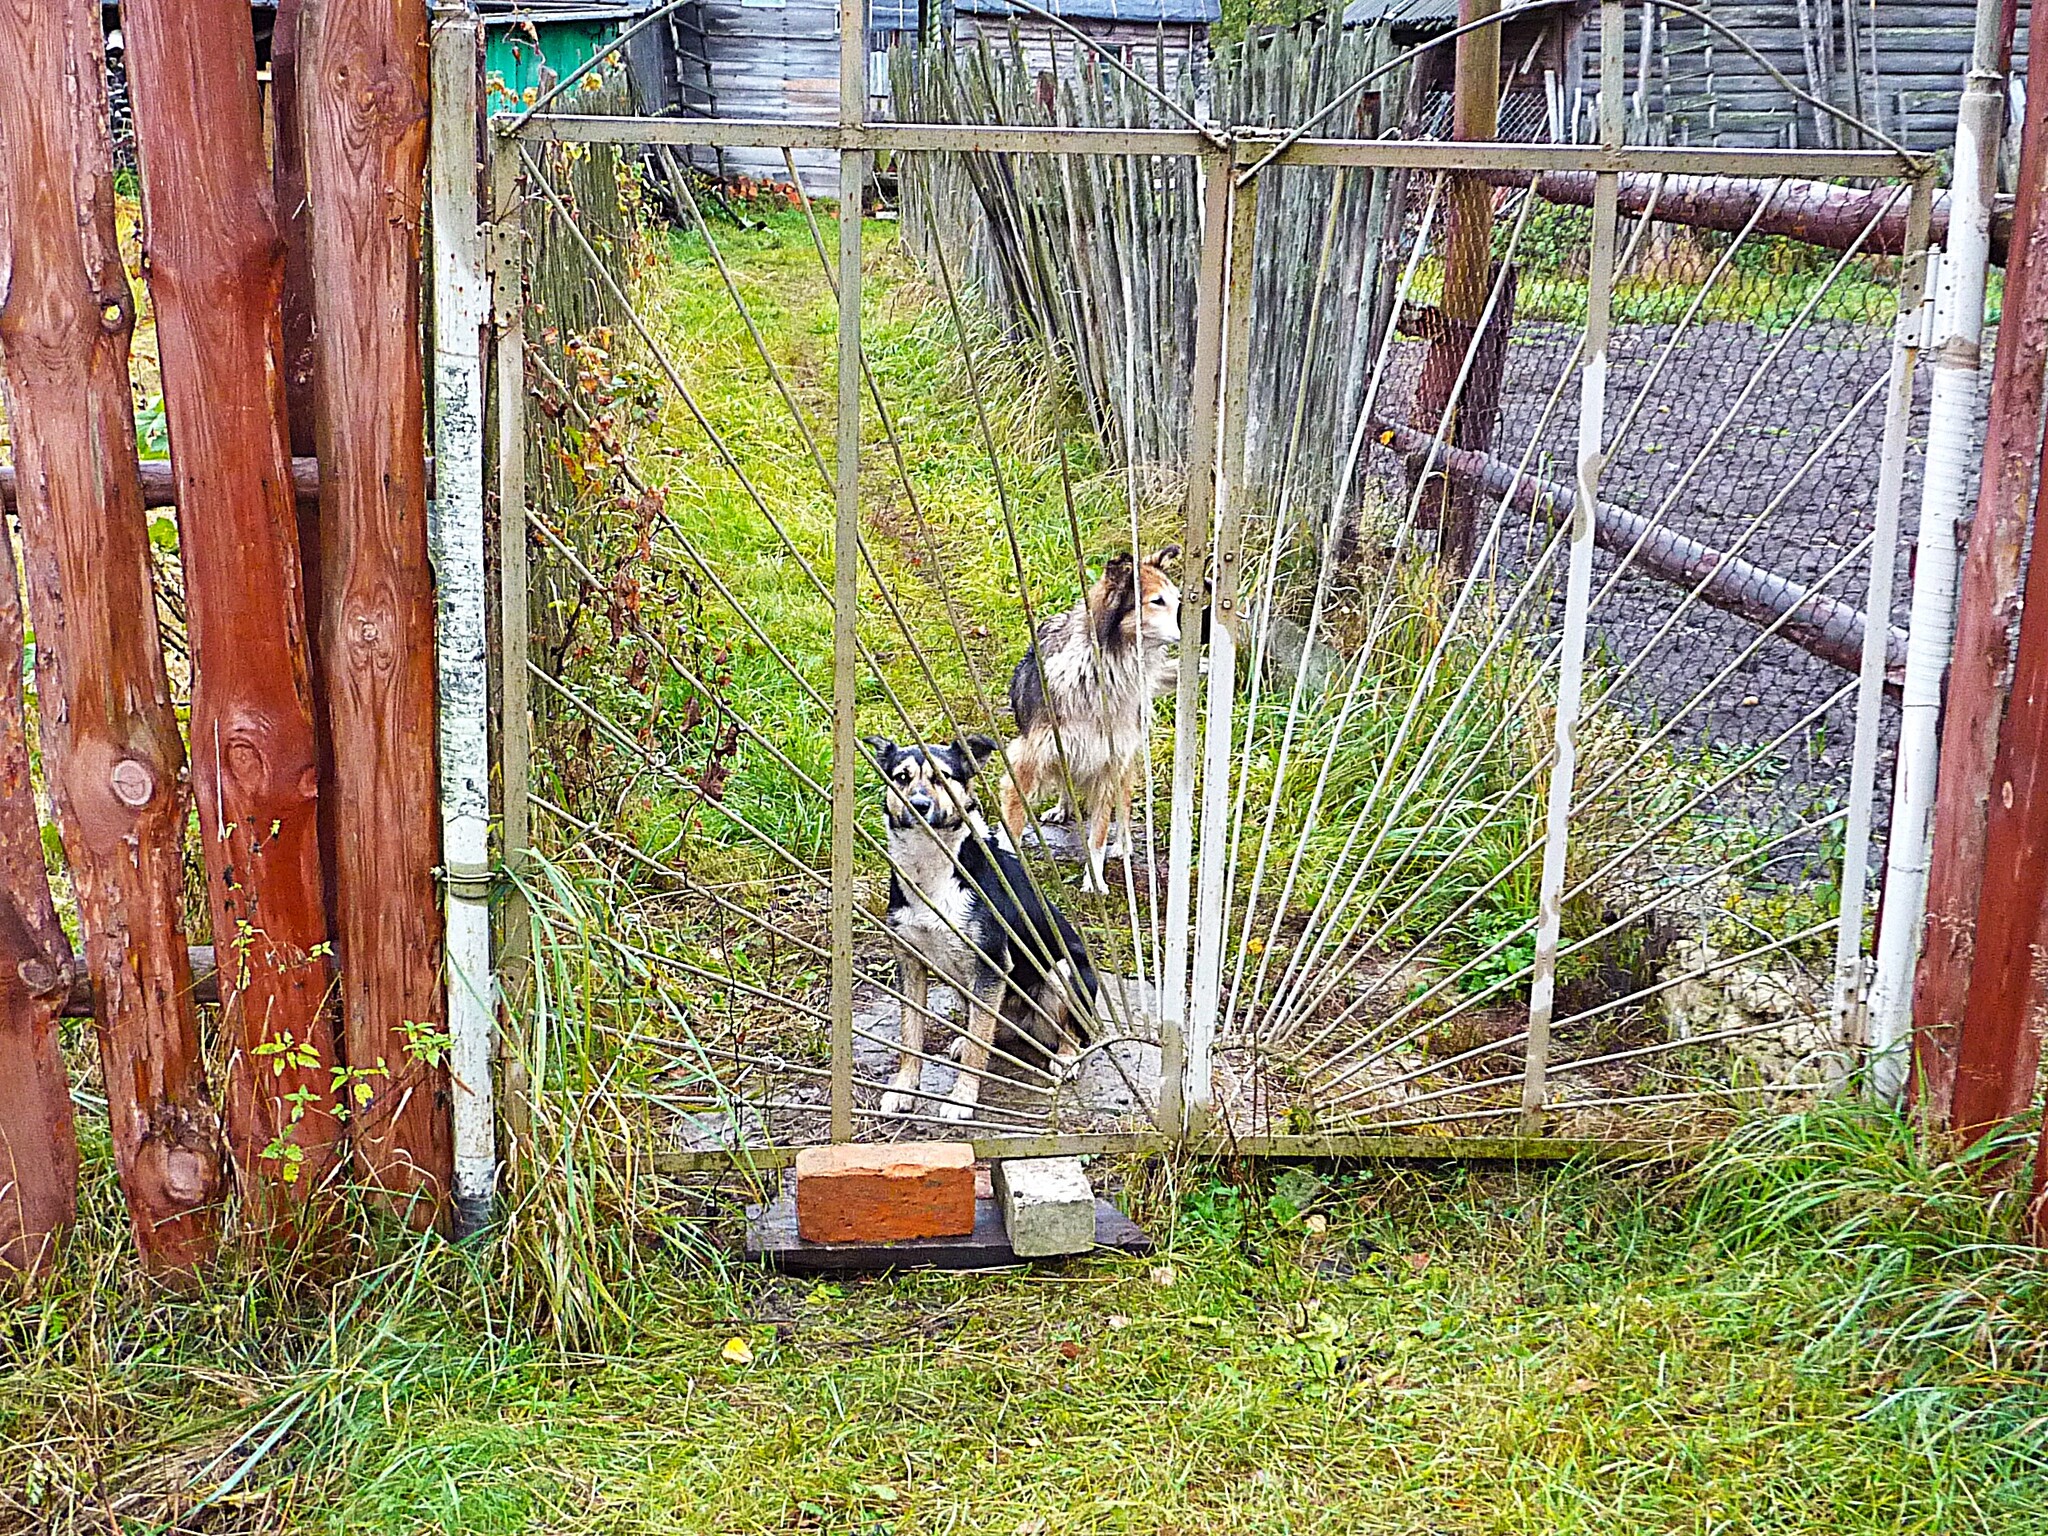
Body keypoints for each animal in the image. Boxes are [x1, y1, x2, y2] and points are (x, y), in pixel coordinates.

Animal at [868, 733, 1105, 1122]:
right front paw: (904, 1089)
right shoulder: (910, 962)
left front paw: (962, 1098)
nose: (918, 805)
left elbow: (979, 1043)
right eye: (901, 777)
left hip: (1061, 971)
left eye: (942, 777)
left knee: (1071, 1033)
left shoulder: (991, 964)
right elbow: (910, 1034)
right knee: (988, 1027)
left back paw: (1065, 1058)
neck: (931, 866)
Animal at [995, 548, 1179, 897]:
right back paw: (1063, 808)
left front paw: (1094, 879)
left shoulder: (1110, 763)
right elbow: (1012, 822)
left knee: (1124, 801)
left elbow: (1099, 832)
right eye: (1157, 601)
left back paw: (1122, 845)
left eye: (1177, 601)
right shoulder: (1028, 758)